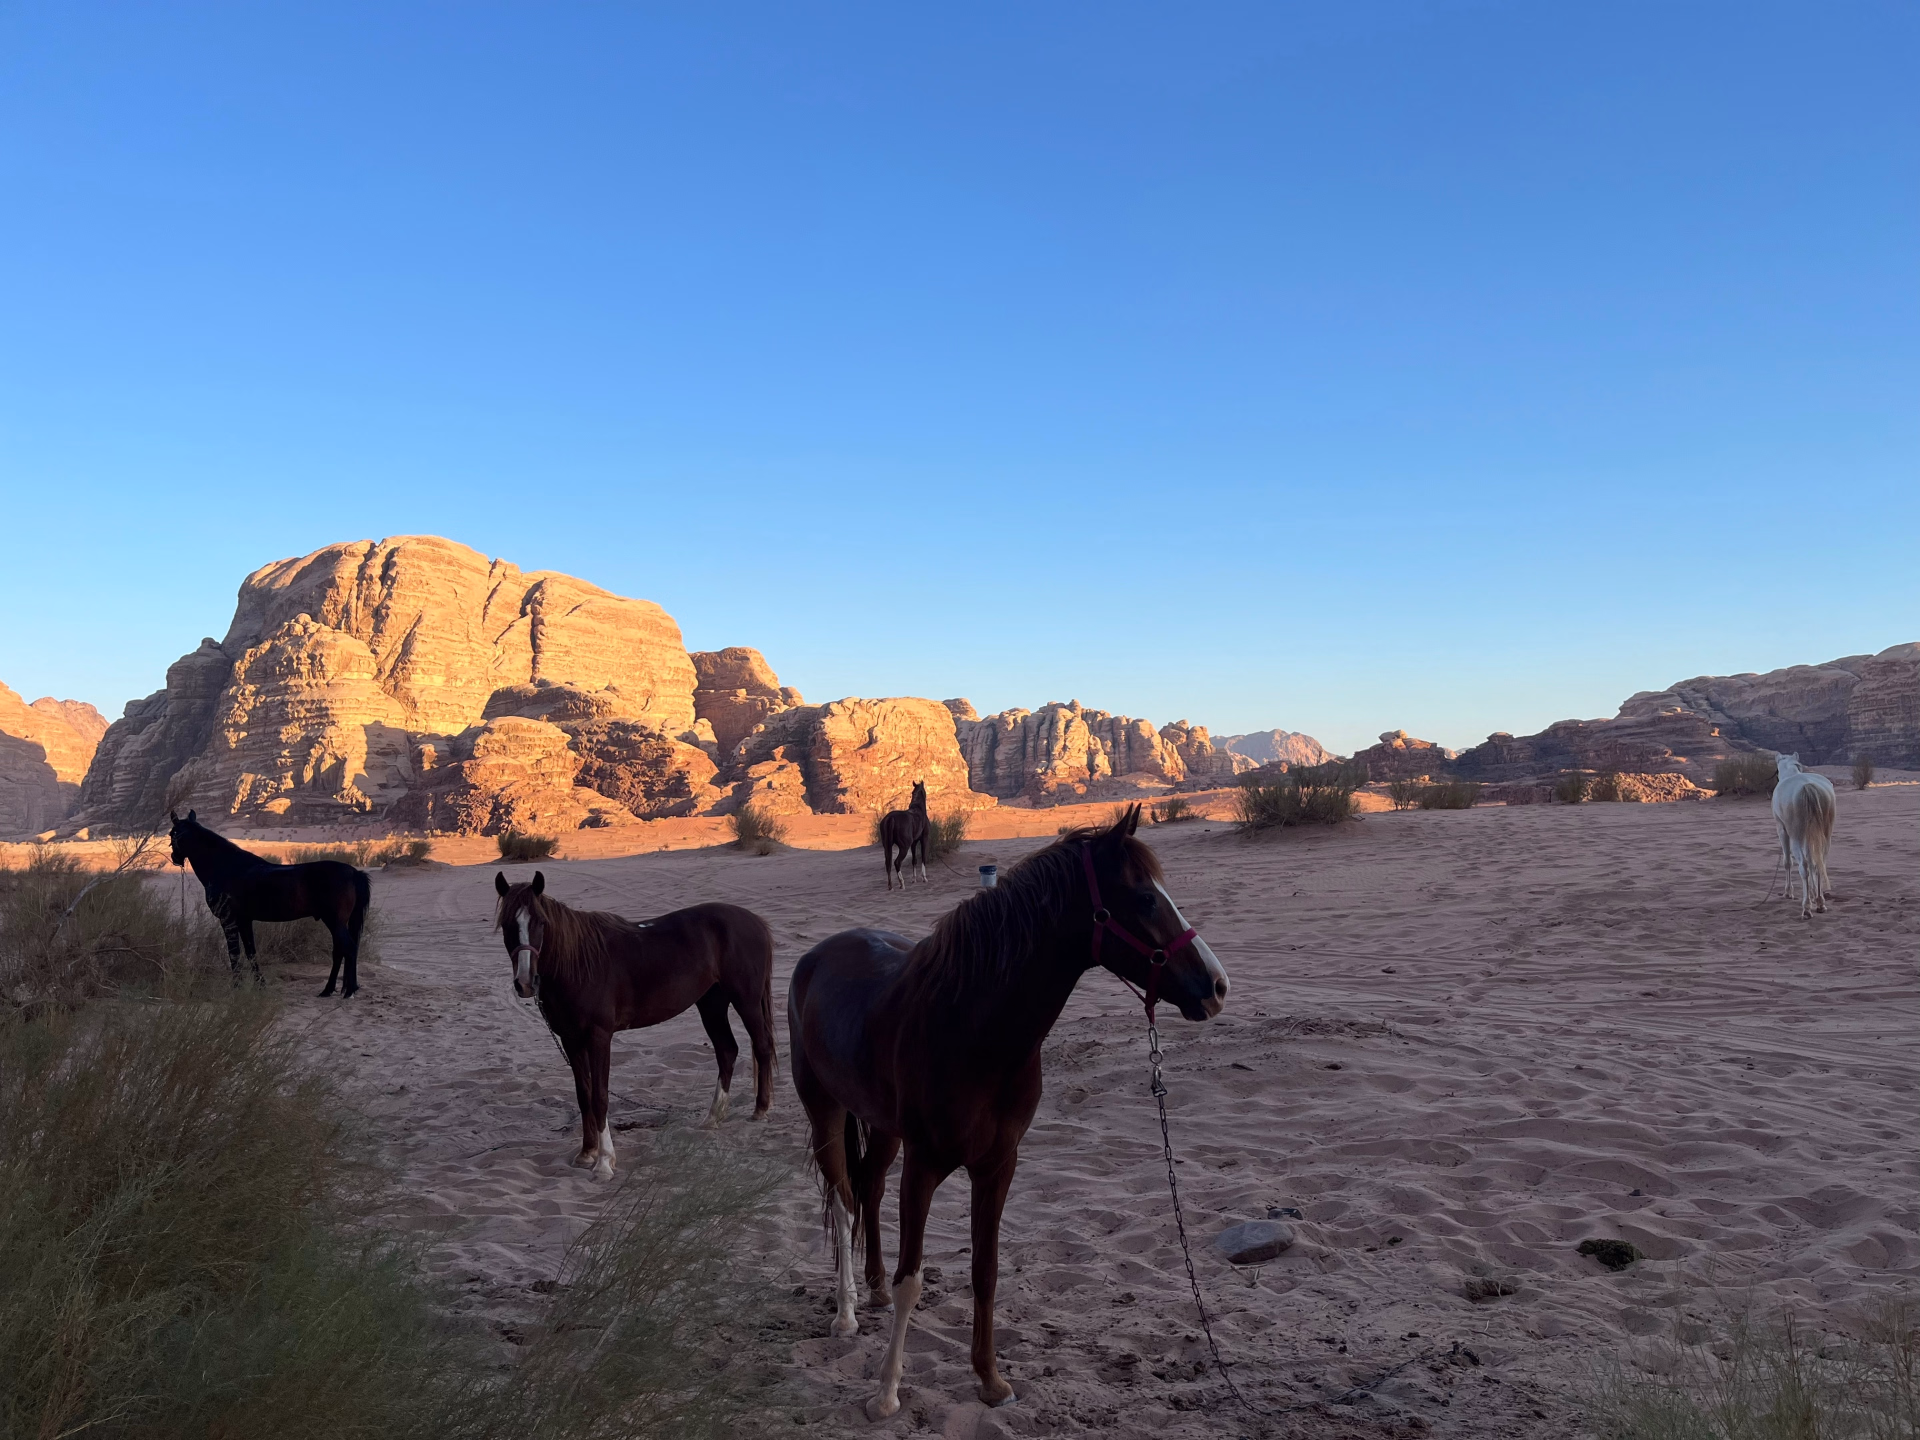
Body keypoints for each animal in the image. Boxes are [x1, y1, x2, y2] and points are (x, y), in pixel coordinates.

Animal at [168, 810, 371, 996]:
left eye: (172, 833)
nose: (175, 858)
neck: (225, 867)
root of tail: (354, 872)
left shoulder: (228, 920)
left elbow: (234, 953)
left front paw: (237, 987)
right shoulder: (244, 921)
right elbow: (251, 952)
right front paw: (260, 985)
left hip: (334, 921)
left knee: (348, 949)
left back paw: (348, 991)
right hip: (335, 922)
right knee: (340, 951)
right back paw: (329, 990)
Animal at [493, 871, 777, 1179]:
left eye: (541, 922)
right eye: (507, 925)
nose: (525, 983)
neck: (579, 964)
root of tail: (755, 921)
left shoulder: (599, 1037)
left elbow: (600, 1096)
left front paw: (604, 1162)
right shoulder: (571, 1039)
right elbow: (584, 1095)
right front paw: (586, 1153)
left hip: (745, 1000)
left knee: (761, 1045)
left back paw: (761, 1110)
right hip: (711, 1004)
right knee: (727, 1051)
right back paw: (712, 1118)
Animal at [787, 804, 1229, 1419]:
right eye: (1144, 898)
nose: (1217, 986)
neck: (974, 1028)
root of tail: (817, 956)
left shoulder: (998, 1165)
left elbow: (986, 1270)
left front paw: (990, 1380)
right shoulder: (924, 1166)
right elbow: (912, 1279)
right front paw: (886, 1393)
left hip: (881, 1125)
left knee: (869, 1187)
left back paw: (870, 1288)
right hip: (824, 1110)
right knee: (844, 1198)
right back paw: (848, 1313)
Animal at [1772, 754, 1836, 919]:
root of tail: (1808, 786)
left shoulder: (1782, 830)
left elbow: (1787, 862)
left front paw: (1788, 892)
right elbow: (1813, 862)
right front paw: (1813, 894)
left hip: (1796, 836)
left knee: (1804, 866)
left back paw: (1806, 907)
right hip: (1825, 834)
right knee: (1819, 863)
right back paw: (1820, 902)